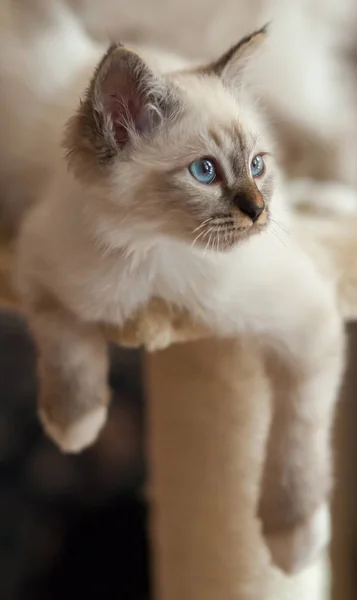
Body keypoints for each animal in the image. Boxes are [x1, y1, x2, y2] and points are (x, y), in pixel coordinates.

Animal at [15, 30, 344, 576]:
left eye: (256, 166)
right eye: (205, 172)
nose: (259, 211)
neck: (158, 256)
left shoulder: (307, 323)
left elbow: (297, 440)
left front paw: (293, 544)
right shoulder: (38, 271)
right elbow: (66, 345)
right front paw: (75, 425)